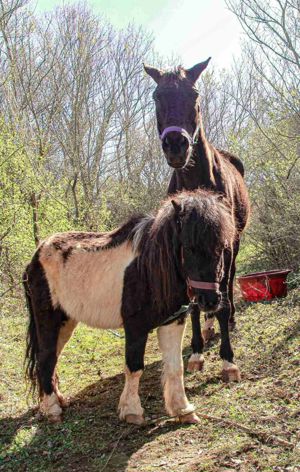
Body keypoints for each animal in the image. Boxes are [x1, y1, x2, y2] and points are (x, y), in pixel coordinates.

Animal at [24, 190, 234, 426]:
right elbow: (134, 367)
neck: (148, 270)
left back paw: (58, 399)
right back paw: (52, 409)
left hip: (66, 321)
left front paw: (183, 409)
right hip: (48, 320)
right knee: (46, 358)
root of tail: (36, 257)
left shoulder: (173, 322)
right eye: (189, 247)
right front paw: (132, 411)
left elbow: (175, 367)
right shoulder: (135, 327)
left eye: (222, 247)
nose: (211, 301)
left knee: (52, 358)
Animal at [144, 59, 250, 380]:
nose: (176, 145)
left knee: (228, 283)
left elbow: (223, 297)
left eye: (194, 95)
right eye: (157, 97)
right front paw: (196, 352)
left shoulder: (223, 244)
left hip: (235, 246)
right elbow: (191, 304)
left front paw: (228, 360)